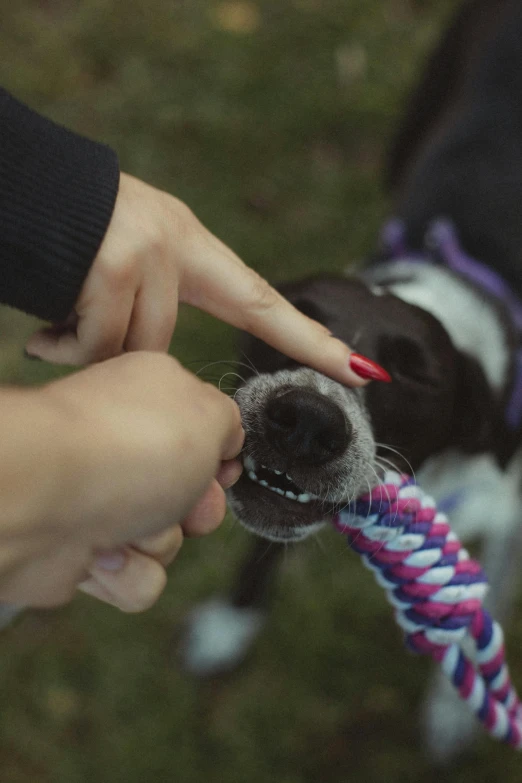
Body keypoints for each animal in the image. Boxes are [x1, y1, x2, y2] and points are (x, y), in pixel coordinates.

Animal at [181, 0, 520, 760]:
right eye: (296, 316)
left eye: (419, 373)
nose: (307, 418)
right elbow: (262, 548)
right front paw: (228, 625)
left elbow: (490, 602)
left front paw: (453, 712)